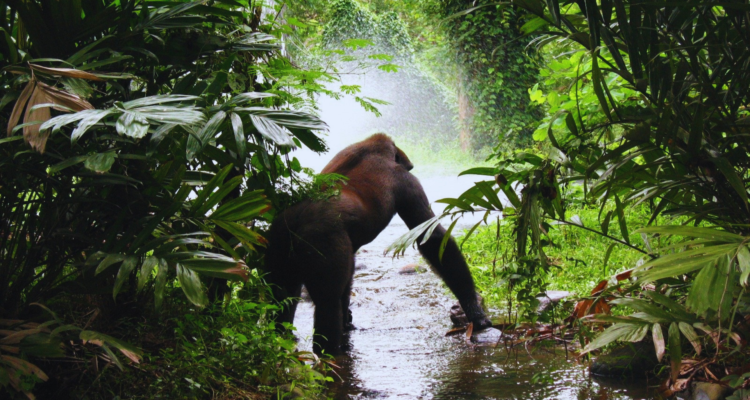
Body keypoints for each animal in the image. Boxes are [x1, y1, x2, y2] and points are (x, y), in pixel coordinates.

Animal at [264, 133, 491, 355]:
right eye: (408, 168)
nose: (410, 165)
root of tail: (295, 221)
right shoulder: (406, 181)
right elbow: (433, 238)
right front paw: (474, 310)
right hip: (320, 239)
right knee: (327, 303)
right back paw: (329, 354)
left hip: (276, 240)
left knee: (282, 296)